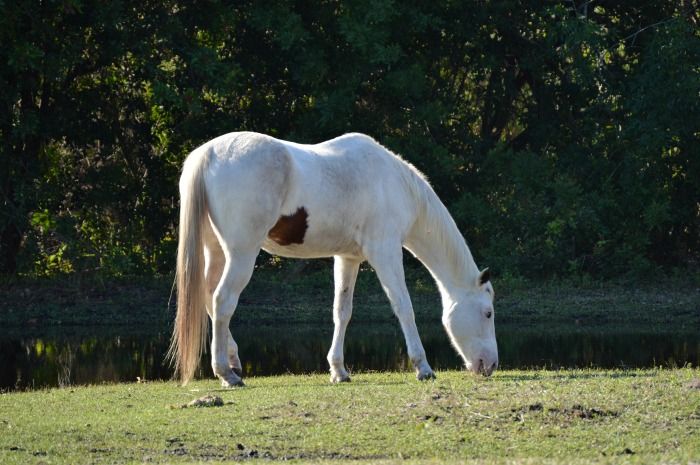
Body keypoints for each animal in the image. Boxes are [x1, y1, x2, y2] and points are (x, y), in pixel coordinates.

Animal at [170, 130, 498, 384]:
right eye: (488, 313)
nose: (491, 365)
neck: (392, 183)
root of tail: (208, 154)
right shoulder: (386, 252)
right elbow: (404, 307)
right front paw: (423, 368)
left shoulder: (348, 259)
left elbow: (342, 312)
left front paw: (339, 370)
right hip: (241, 254)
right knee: (223, 300)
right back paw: (227, 373)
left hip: (215, 251)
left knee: (210, 297)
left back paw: (233, 362)